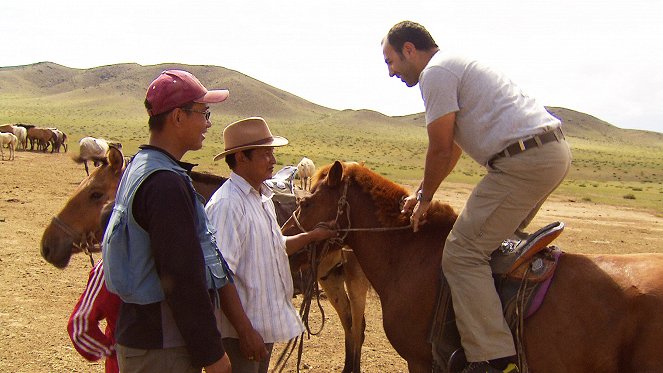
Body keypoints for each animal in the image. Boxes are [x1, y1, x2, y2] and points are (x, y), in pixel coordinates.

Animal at [40, 145, 370, 372]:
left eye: (95, 194)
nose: (48, 245)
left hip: (356, 280)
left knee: (358, 326)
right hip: (330, 278)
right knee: (349, 324)